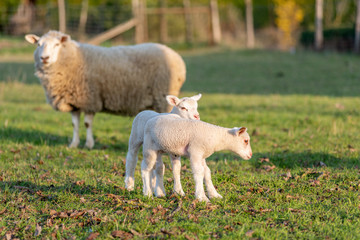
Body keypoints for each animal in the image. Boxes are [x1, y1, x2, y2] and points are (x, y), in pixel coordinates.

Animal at [24, 30, 186, 148]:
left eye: (57, 44)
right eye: (38, 44)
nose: (44, 58)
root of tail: (177, 58)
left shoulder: (89, 99)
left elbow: (87, 124)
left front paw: (89, 145)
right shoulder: (75, 102)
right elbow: (75, 124)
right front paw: (74, 144)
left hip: (163, 96)